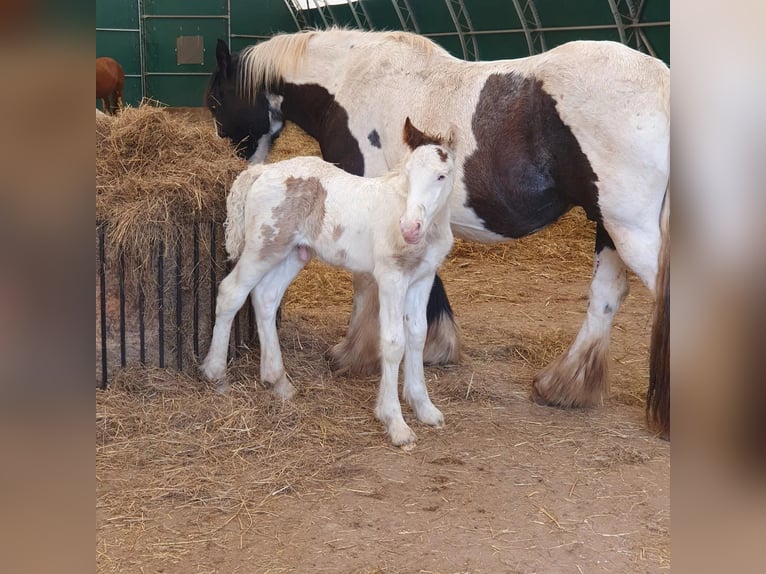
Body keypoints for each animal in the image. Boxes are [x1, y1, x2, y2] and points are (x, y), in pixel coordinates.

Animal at [206, 30, 672, 436]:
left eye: (216, 103)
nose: (237, 168)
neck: (348, 81)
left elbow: (366, 285)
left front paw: (354, 354)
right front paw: (436, 349)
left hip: (630, 230)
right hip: (609, 227)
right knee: (606, 297)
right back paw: (564, 386)